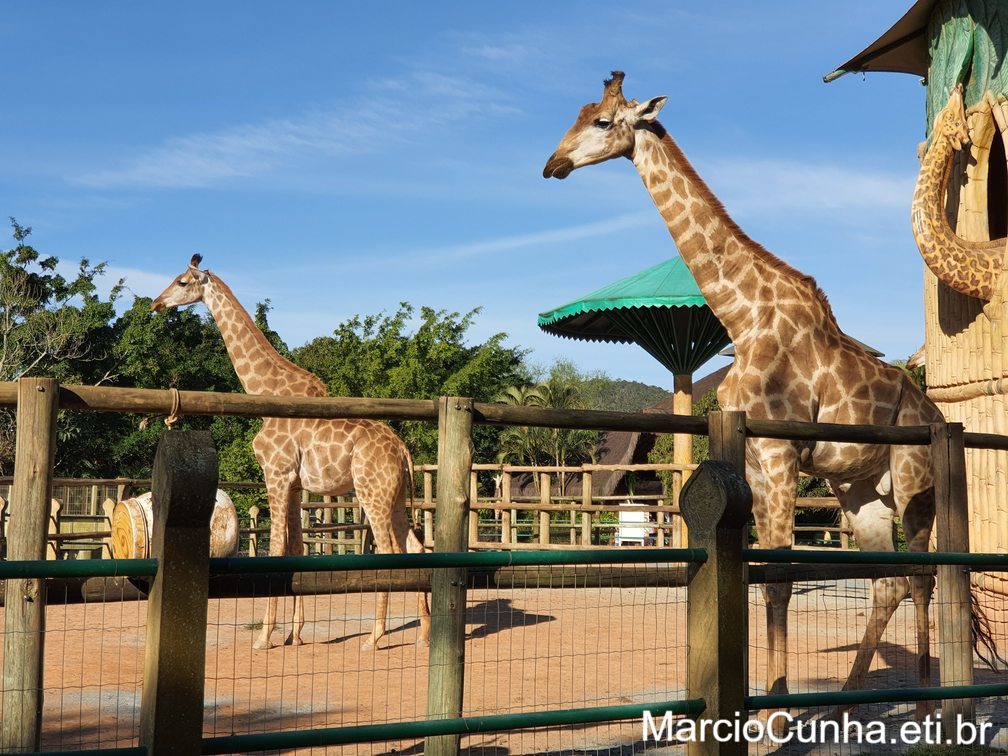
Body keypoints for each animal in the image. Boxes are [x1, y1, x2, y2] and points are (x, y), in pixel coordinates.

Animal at [152, 256, 429, 653]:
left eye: (182, 281)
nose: (155, 303)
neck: (264, 393)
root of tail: (402, 450)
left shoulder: (276, 474)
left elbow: (277, 549)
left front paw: (264, 637)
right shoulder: (297, 485)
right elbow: (298, 549)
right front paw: (293, 634)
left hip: (371, 493)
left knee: (391, 553)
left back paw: (374, 638)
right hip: (393, 497)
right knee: (417, 548)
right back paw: (424, 632)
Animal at [548, 75, 939, 717]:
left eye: (603, 121)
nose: (552, 164)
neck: (743, 316)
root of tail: (935, 411)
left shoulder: (780, 455)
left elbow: (779, 580)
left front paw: (777, 714)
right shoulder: (751, 458)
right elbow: (759, 576)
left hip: (913, 479)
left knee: (924, 575)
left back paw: (934, 708)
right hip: (860, 489)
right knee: (889, 580)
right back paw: (843, 704)